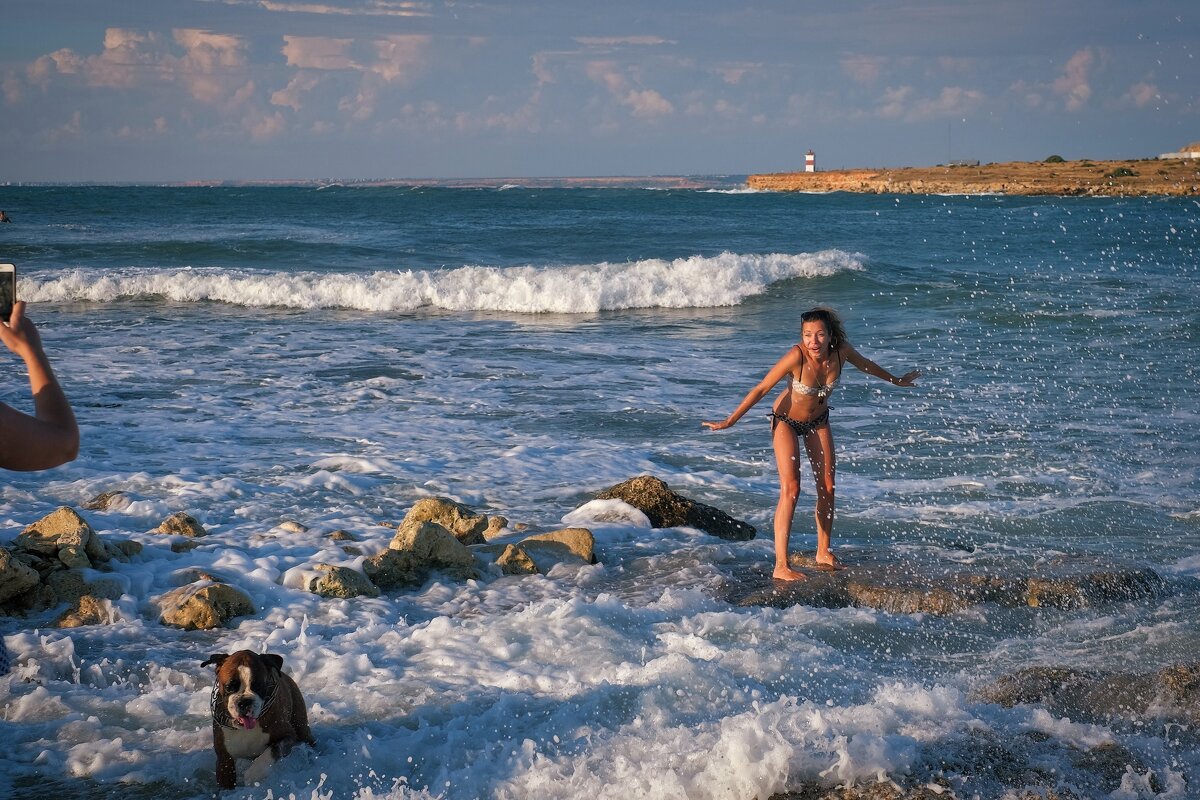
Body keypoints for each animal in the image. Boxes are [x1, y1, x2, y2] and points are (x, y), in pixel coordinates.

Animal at [200, 652, 314, 786]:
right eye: (229, 687)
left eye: (258, 686)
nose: (244, 701)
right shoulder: (224, 761)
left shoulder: (288, 736)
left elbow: (273, 750)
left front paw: (254, 772)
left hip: (301, 728)